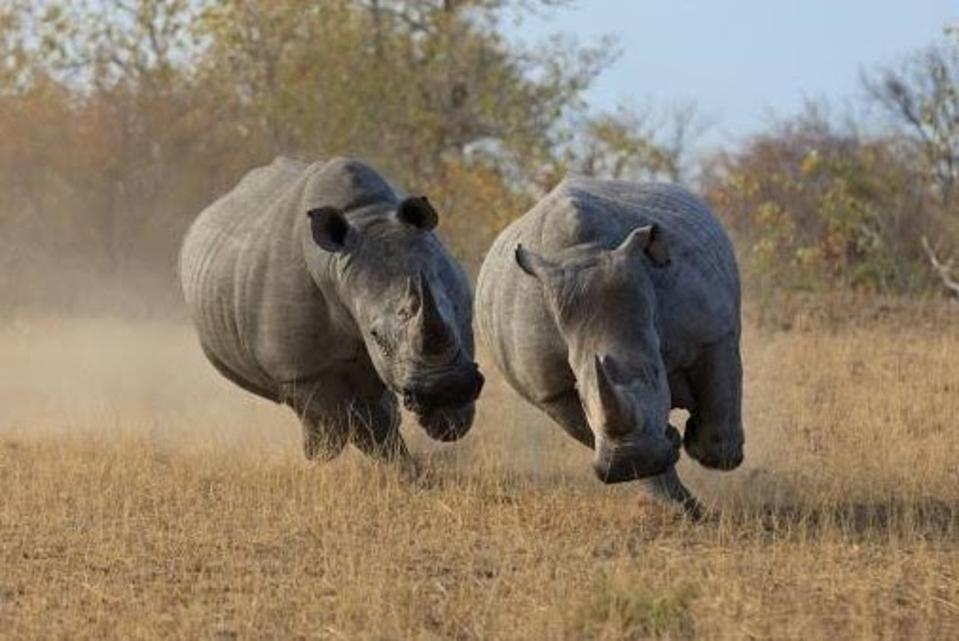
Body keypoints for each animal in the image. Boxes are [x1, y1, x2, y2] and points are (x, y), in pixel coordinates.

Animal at [179, 157, 484, 464]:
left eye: (456, 309)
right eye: (376, 337)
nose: (446, 388)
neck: (365, 217)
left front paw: (445, 426)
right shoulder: (302, 368)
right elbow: (340, 416)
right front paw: (330, 455)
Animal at [476, 176, 743, 513]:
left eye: (656, 372)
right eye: (579, 390)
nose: (631, 459)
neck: (584, 252)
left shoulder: (711, 330)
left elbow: (720, 392)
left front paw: (707, 450)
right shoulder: (550, 390)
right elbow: (586, 425)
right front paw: (657, 457)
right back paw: (682, 507)